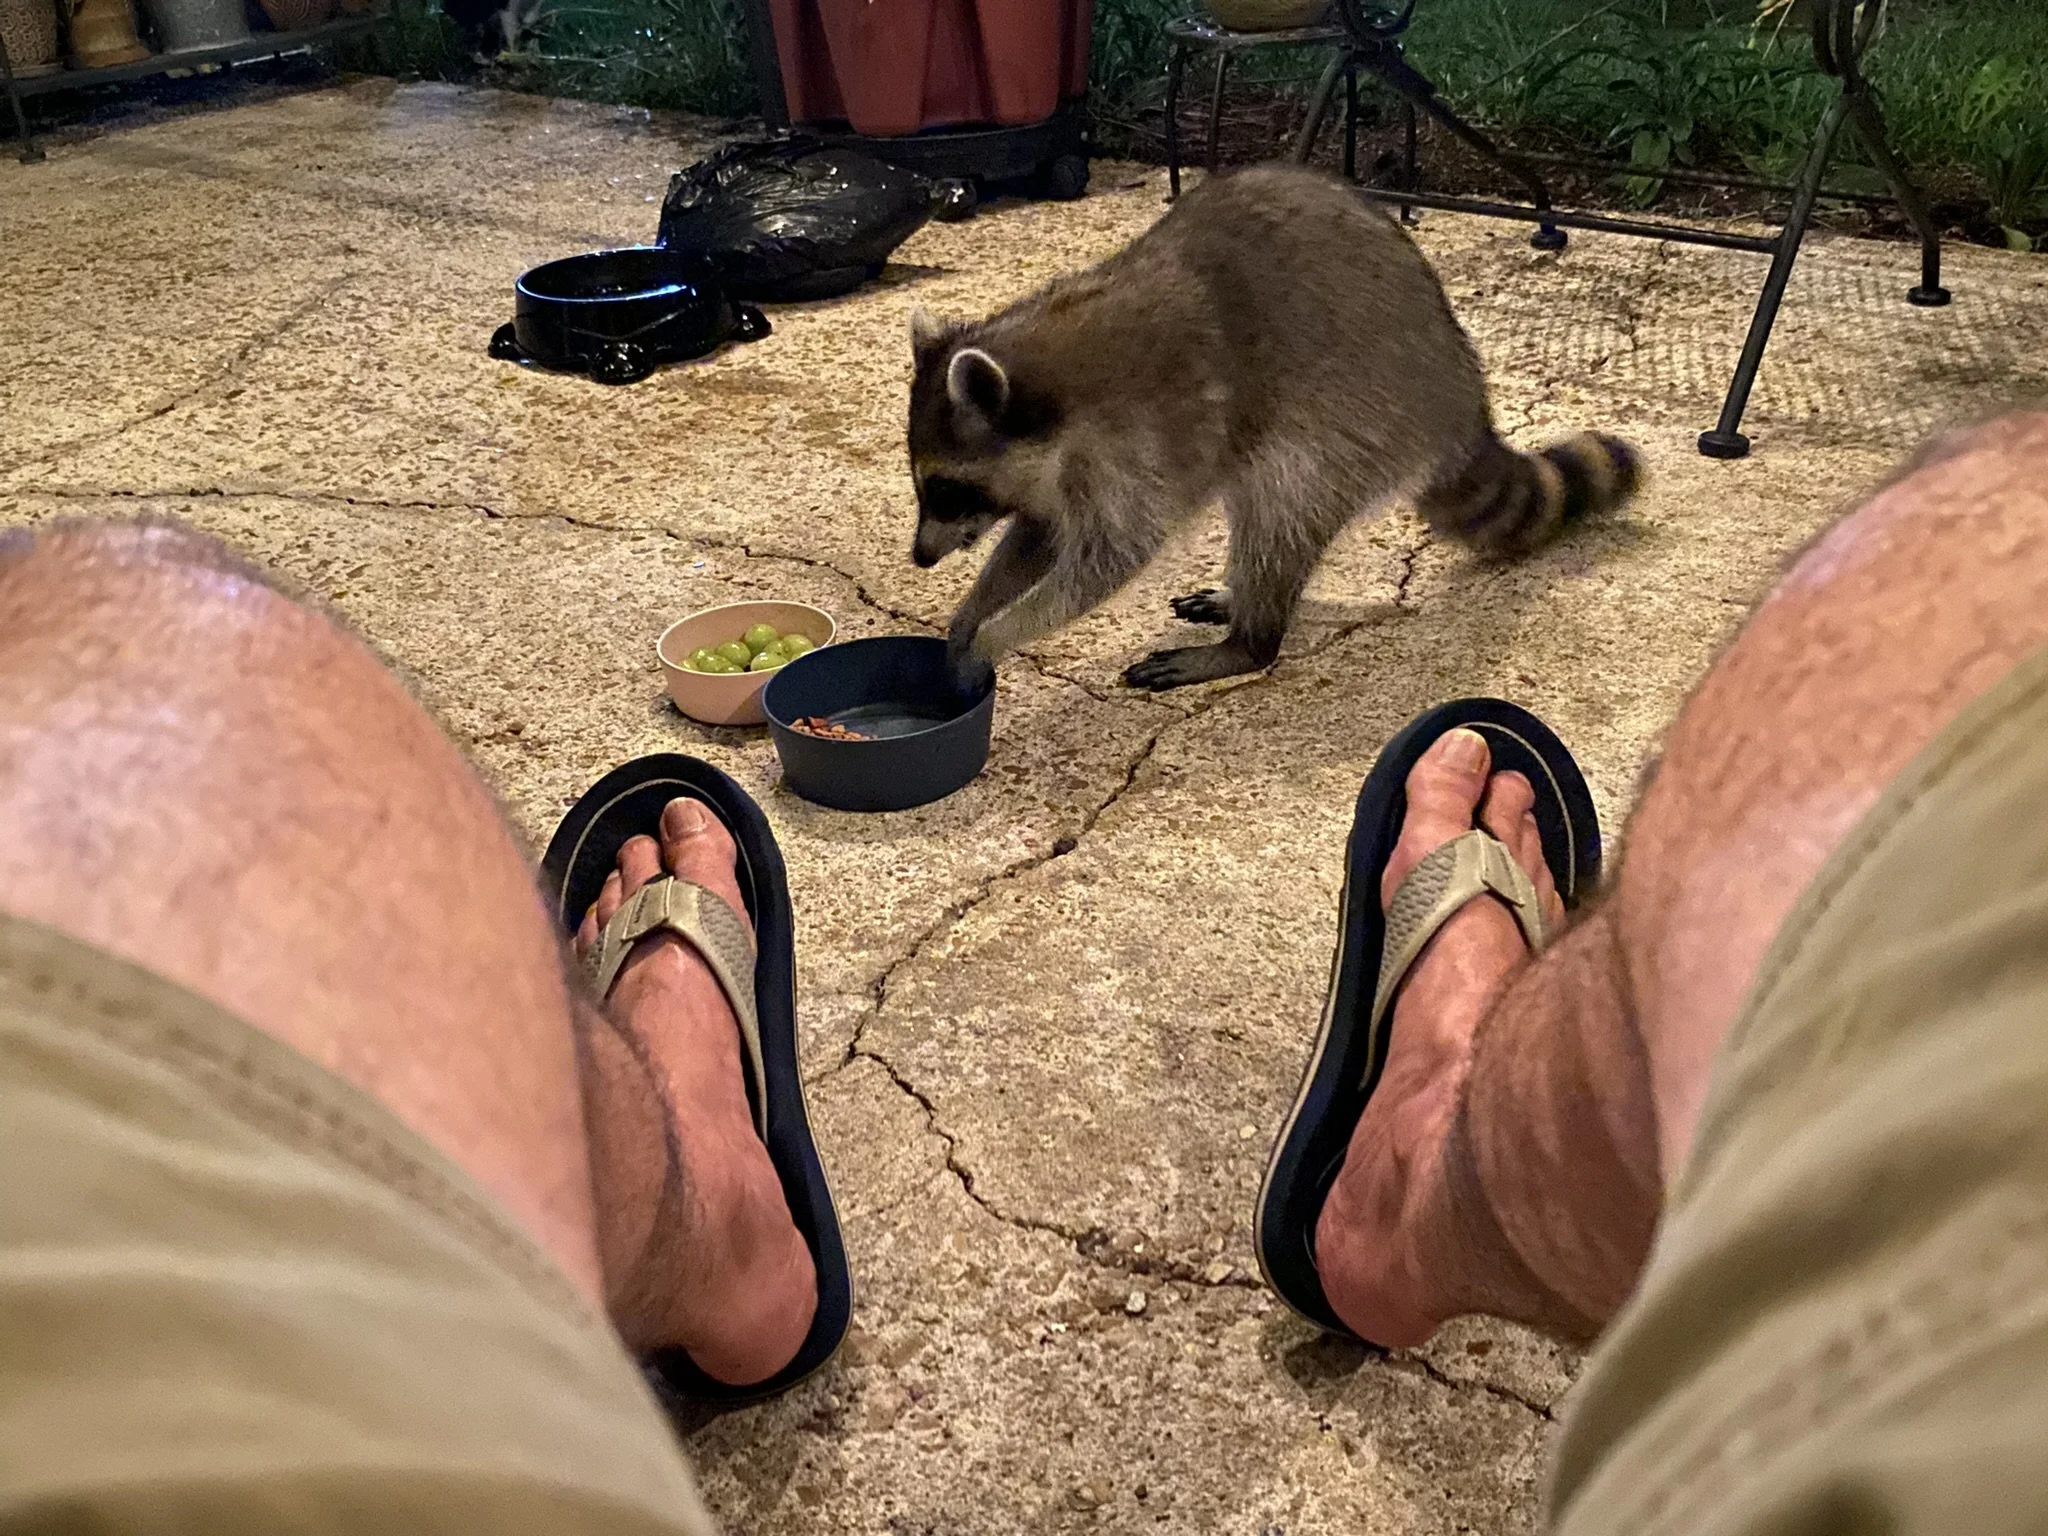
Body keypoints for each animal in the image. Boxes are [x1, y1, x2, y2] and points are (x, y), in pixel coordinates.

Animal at [907, 163, 1639, 691]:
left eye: (944, 489)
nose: (919, 557)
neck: (1046, 386)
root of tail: (1461, 395)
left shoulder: (1133, 448)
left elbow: (1104, 562)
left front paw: (1000, 633)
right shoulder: (1050, 472)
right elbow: (1036, 538)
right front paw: (973, 611)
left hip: (1351, 423)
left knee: (1281, 506)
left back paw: (1247, 643)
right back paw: (1240, 601)